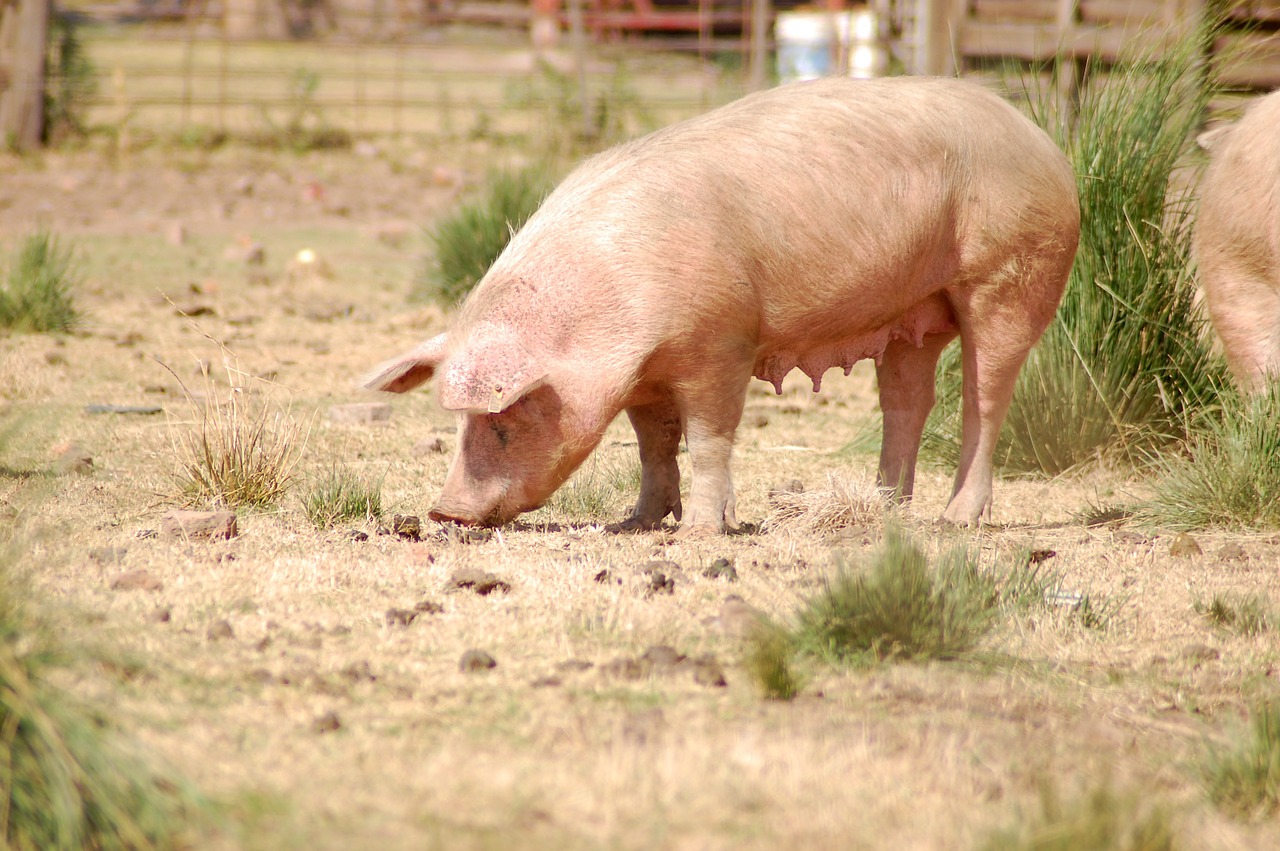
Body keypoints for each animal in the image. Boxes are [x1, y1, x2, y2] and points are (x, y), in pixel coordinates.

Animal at [368, 76, 1080, 534]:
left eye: (504, 422)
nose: (444, 511)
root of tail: (1047, 146)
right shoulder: (645, 375)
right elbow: (654, 444)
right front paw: (637, 522)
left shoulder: (721, 342)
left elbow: (709, 439)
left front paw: (703, 533)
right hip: (913, 315)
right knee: (907, 402)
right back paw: (883, 511)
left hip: (1010, 274)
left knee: (986, 399)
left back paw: (957, 520)